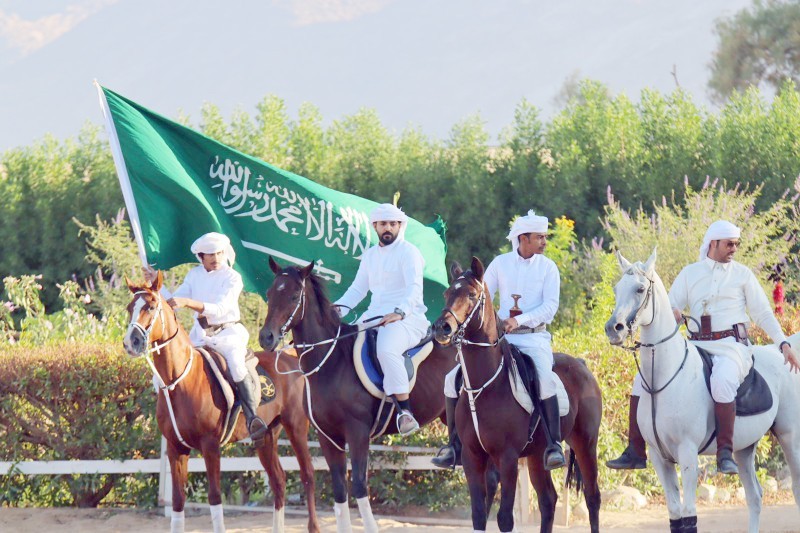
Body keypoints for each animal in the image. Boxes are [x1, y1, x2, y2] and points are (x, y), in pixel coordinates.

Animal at [123, 272, 318, 532]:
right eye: (129, 308)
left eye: (151, 307)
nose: (130, 342)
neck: (179, 381)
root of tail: (292, 359)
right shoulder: (176, 448)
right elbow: (177, 500)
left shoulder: (210, 446)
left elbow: (215, 498)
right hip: (266, 436)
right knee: (278, 480)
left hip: (296, 427)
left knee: (308, 475)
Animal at [432, 258, 600, 532]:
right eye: (447, 294)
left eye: (471, 295)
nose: (441, 328)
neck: (485, 385)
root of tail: (581, 364)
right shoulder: (472, 457)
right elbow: (478, 514)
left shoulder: (508, 458)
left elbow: (504, 519)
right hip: (537, 455)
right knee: (548, 500)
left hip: (586, 444)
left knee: (592, 497)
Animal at [604, 249, 800, 532]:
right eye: (617, 288)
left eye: (640, 289)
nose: (613, 328)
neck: (664, 378)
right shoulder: (659, 457)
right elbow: (675, 513)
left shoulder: (687, 453)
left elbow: (689, 513)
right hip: (744, 448)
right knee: (754, 496)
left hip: (790, 437)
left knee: (795, 489)